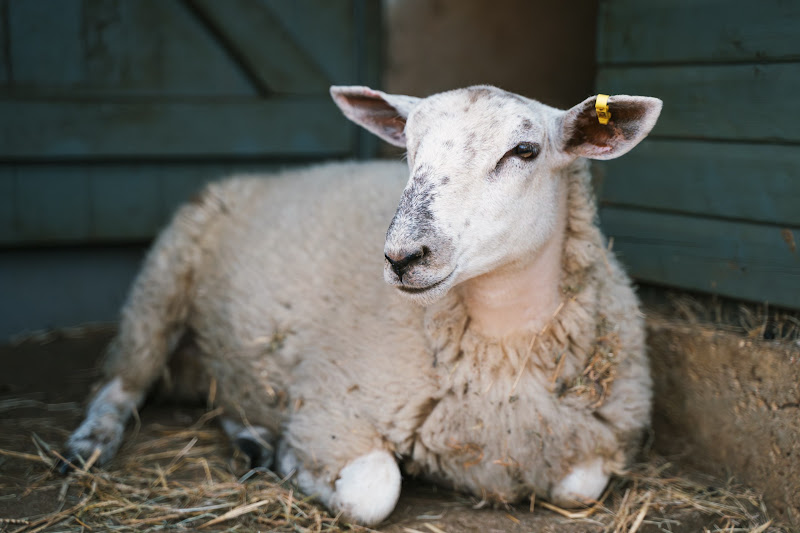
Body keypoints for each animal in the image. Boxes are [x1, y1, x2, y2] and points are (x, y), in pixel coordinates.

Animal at [64, 85, 662, 526]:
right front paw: (295, 463)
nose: (403, 256)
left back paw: (254, 442)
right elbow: (373, 491)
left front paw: (275, 452)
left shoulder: (597, 440)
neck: (501, 361)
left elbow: (580, 485)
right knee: (120, 384)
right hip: (162, 282)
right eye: (409, 149)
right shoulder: (331, 408)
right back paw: (89, 445)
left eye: (524, 151)